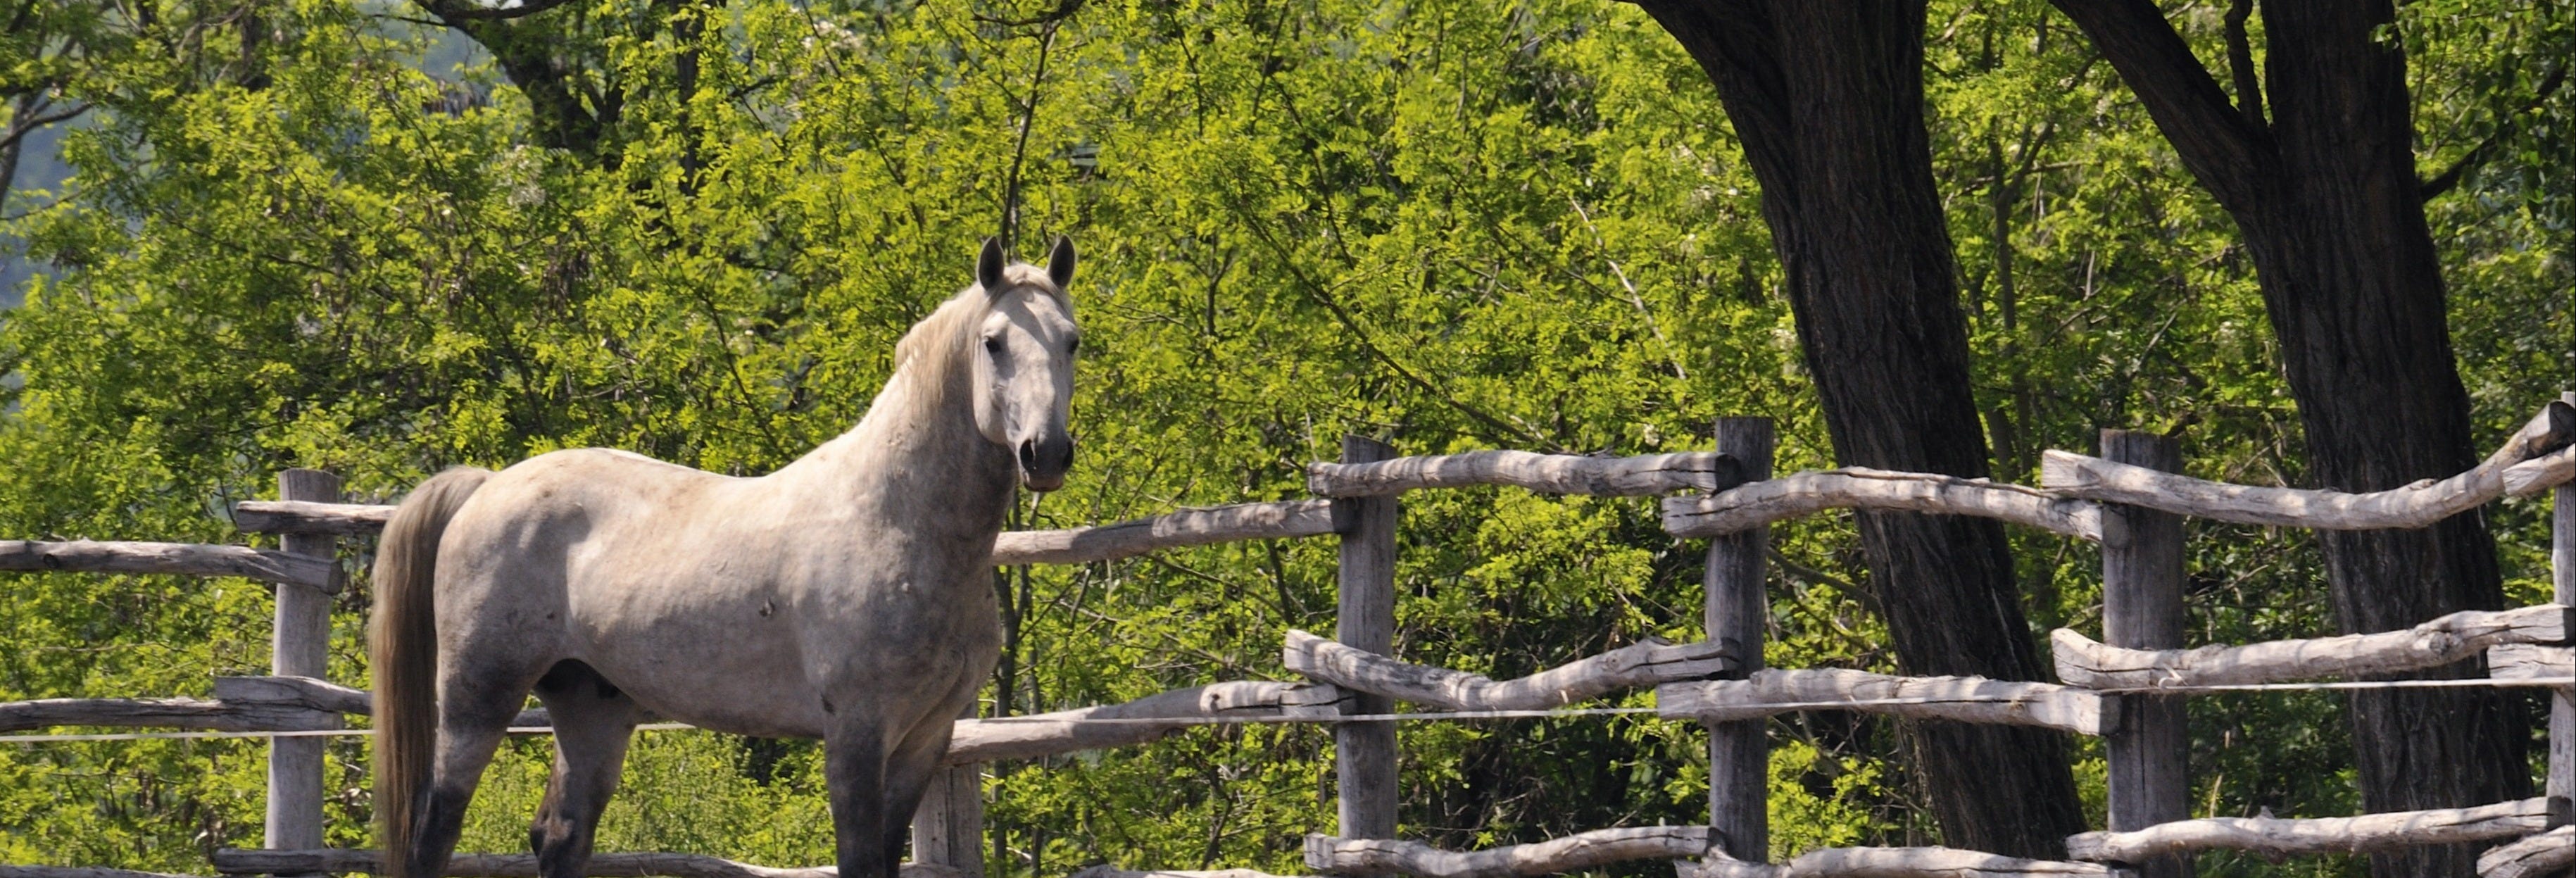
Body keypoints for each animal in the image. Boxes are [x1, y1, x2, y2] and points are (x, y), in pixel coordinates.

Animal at [370, 235, 1076, 875]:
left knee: (560, 836)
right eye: (993, 342)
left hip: (590, 706)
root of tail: (487, 485)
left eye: (1071, 340)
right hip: (478, 698)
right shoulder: (856, 731)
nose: (1045, 452)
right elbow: (857, 860)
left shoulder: (927, 735)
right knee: (435, 831)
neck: (896, 519)